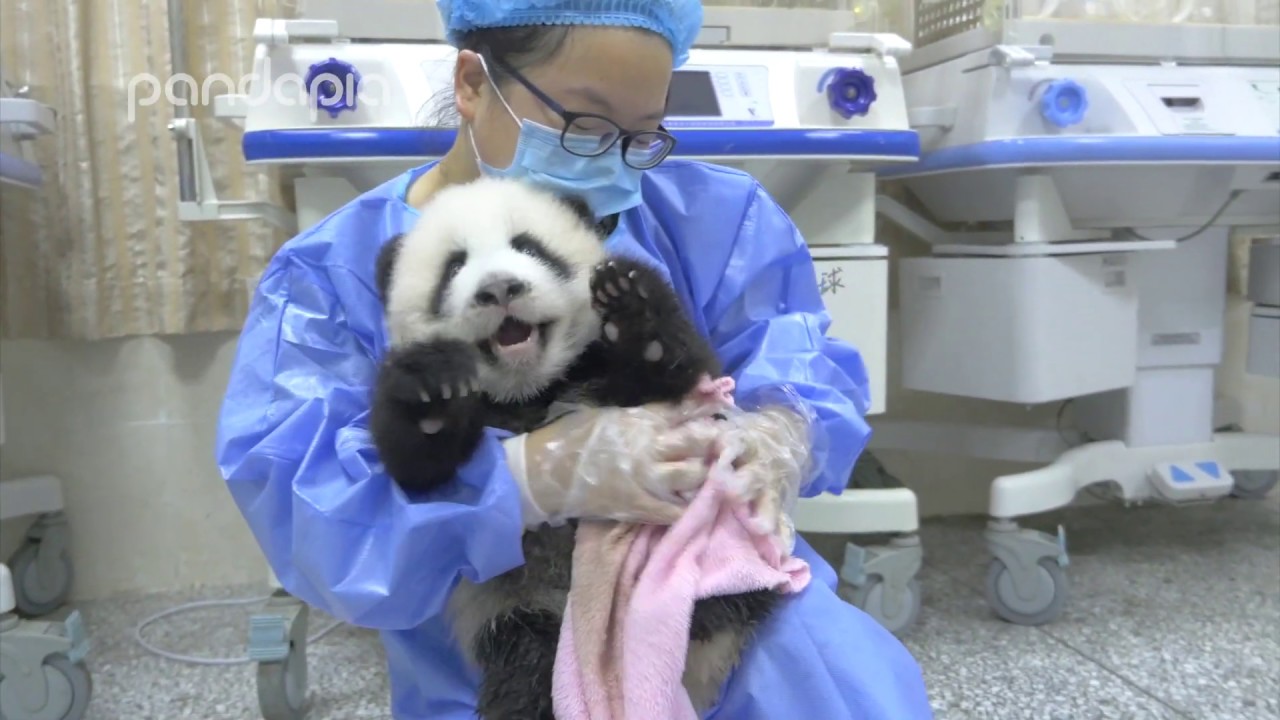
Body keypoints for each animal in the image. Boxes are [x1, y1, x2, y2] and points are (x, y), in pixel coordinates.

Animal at [371, 176, 781, 720]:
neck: (533, 390)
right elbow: (418, 471)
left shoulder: (609, 373)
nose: (499, 288)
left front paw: (634, 307)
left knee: (731, 594)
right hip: (519, 610)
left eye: (528, 246)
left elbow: (685, 376)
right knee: (525, 672)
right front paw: (432, 385)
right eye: (454, 266)